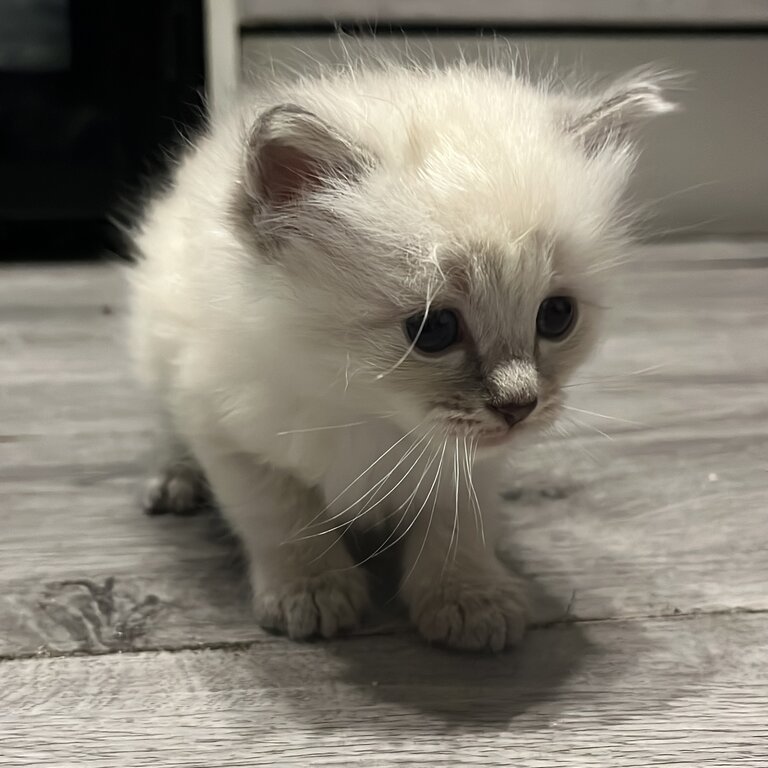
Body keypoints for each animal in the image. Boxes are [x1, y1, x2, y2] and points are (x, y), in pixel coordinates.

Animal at [129, 60, 676, 652]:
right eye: (434, 329)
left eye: (556, 317)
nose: (520, 406)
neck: (374, 419)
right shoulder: (231, 438)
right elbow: (285, 521)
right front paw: (312, 591)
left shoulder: (468, 463)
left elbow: (457, 525)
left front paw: (468, 598)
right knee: (167, 429)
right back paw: (175, 480)